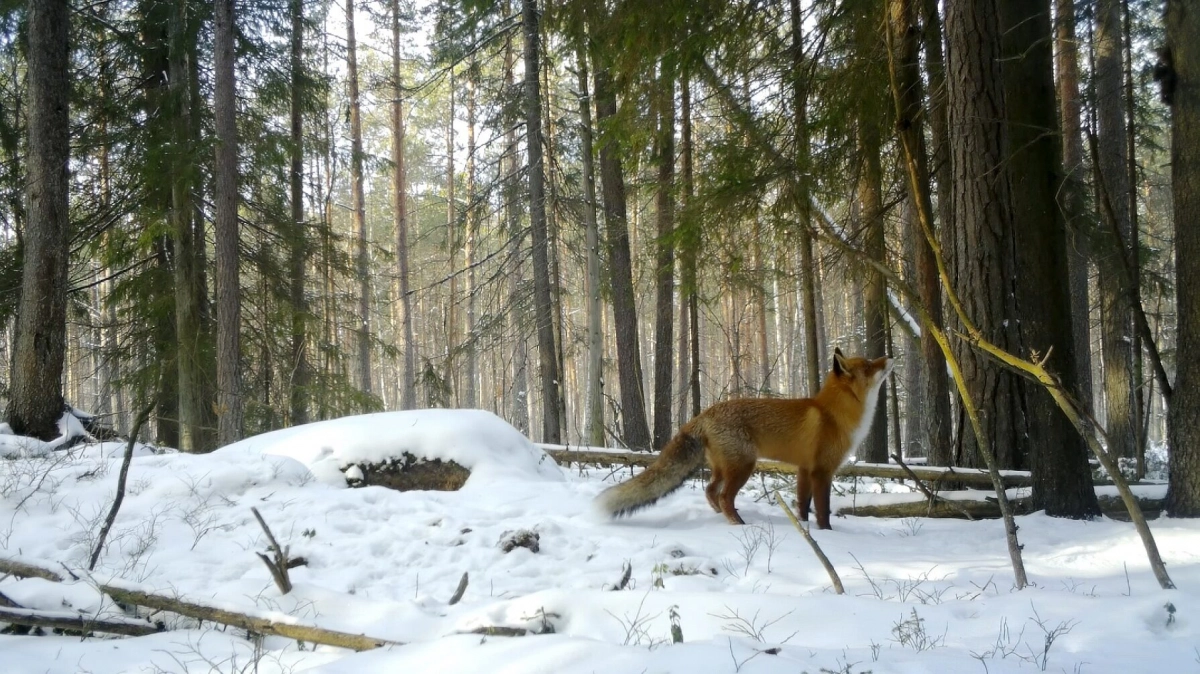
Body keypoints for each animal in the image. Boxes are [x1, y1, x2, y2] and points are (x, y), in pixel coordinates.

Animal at [597, 347, 892, 527]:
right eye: (869, 365)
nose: (890, 356)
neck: (832, 414)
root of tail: (703, 414)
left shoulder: (804, 469)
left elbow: (802, 505)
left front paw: (804, 527)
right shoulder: (822, 471)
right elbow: (822, 510)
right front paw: (826, 533)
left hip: (723, 468)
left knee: (710, 491)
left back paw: (722, 517)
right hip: (743, 466)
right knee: (724, 496)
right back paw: (737, 524)